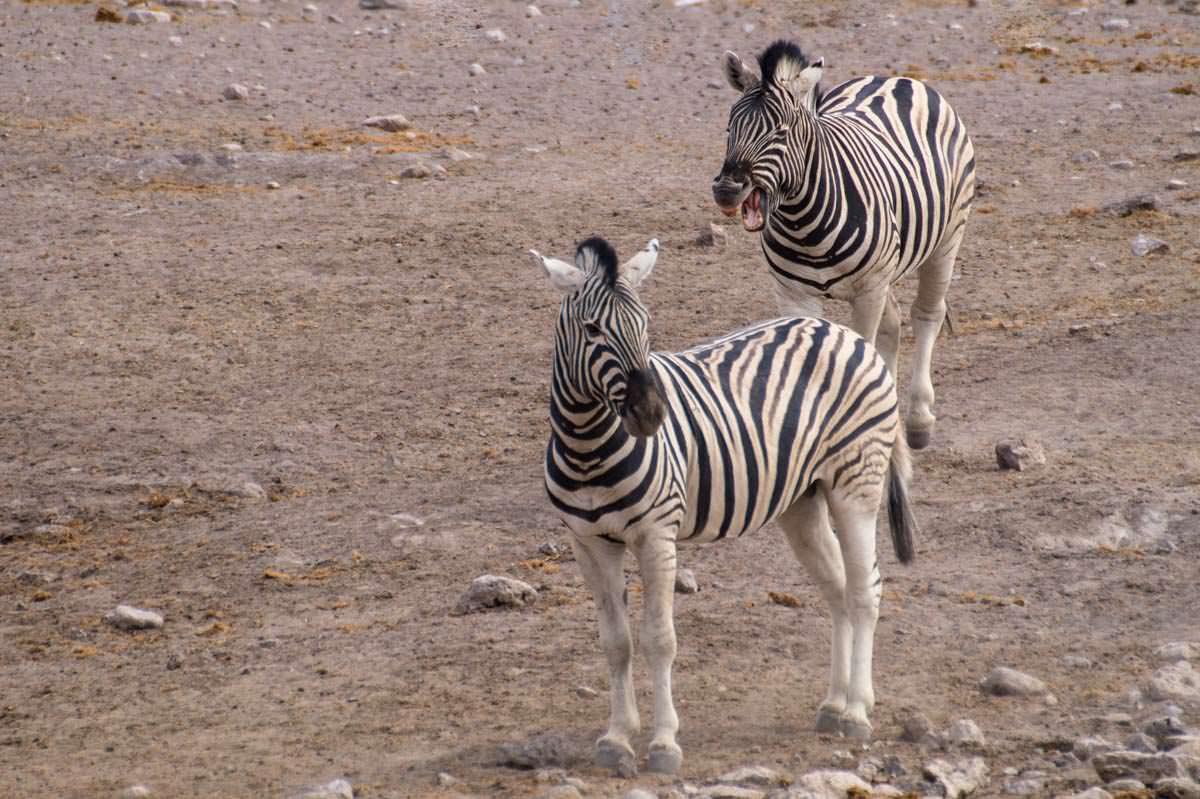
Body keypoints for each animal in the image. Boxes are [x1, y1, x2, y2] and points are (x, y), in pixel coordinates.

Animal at [530, 235, 912, 772]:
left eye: (645, 323)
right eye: (592, 329)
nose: (652, 414)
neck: (588, 445)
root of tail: (844, 333)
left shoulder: (656, 536)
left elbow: (659, 639)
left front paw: (664, 743)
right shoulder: (589, 543)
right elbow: (616, 643)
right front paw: (616, 738)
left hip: (857, 481)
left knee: (863, 590)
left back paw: (857, 710)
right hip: (802, 500)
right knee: (837, 589)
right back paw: (834, 705)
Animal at [710, 40, 974, 451]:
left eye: (780, 132)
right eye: (729, 128)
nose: (726, 189)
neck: (804, 223)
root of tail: (894, 79)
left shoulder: (867, 291)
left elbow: (862, 348)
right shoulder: (794, 294)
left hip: (946, 240)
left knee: (926, 314)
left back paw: (918, 419)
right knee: (894, 321)